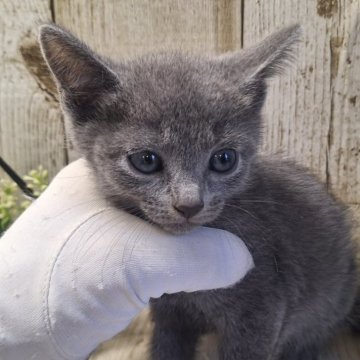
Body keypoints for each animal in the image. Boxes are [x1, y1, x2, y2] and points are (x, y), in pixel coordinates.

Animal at [40, 23, 358, 358]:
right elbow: (166, 344)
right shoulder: (167, 308)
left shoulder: (263, 307)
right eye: (146, 160)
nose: (189, 204)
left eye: (224, 159)